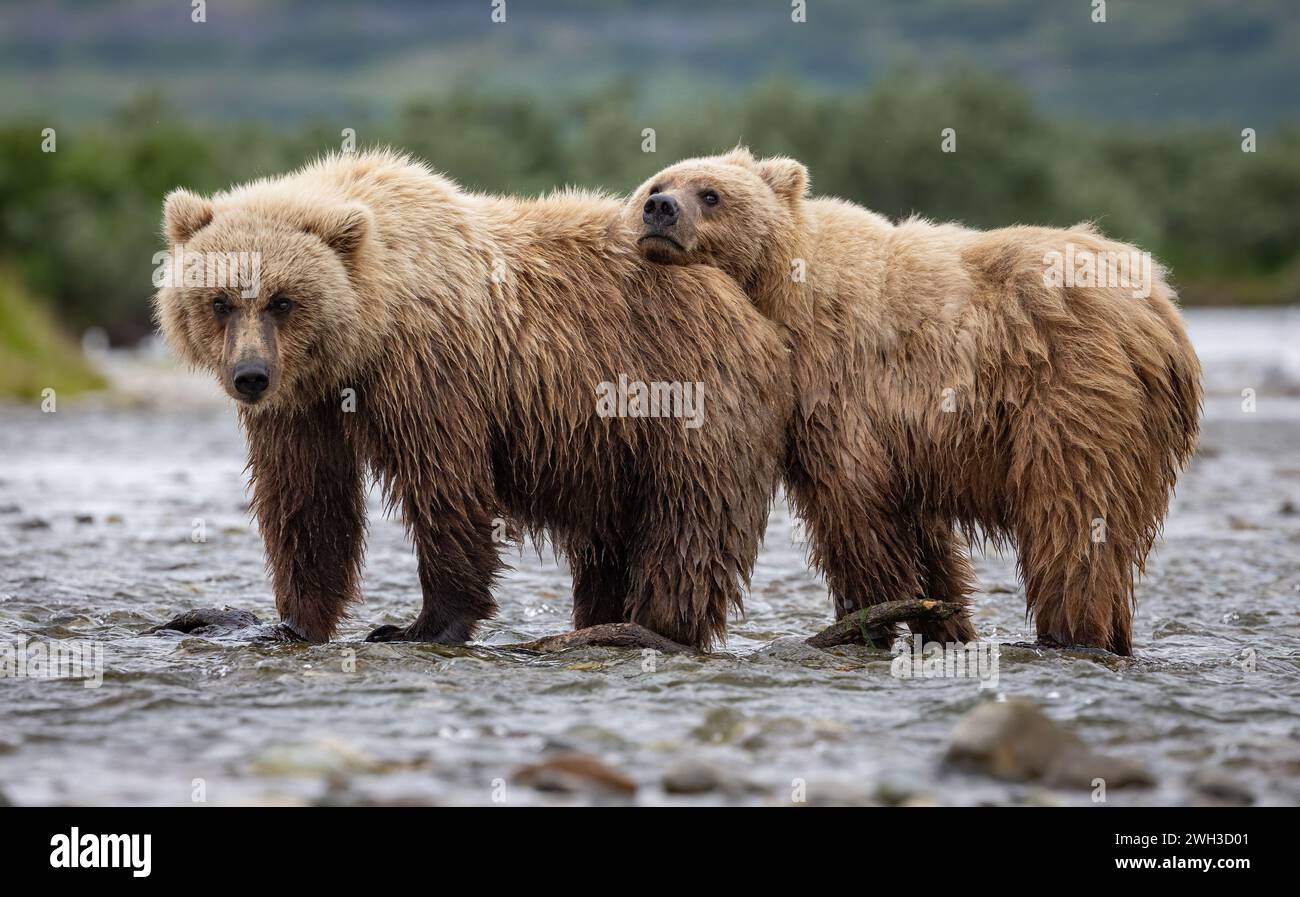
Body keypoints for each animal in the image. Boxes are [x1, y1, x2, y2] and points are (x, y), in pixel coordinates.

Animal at [152, 148, 792, 650]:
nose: (250, 376)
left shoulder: (432, 371)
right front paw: (289, 621)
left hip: (681, 395)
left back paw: (650, 627)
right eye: (219, 301)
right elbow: (305, 499)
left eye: (283, 301)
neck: (366, 336)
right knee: (609, 540)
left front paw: (419, 625)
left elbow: (444, 487)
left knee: (687, 519)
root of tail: (745, 302)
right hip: (610, 451)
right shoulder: (305, 406)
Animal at [624, 148, 1202, 655]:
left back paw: (1070, 632)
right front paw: (943, 620)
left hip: (1075, 391)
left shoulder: (841, 385)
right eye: (656, 185)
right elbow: (923, 537)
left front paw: (868, 620)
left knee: (1074, 515)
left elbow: (853, 506)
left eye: (711, 193)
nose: (661, 208)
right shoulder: (902, 437)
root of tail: (1163, 311)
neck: (779, 294)